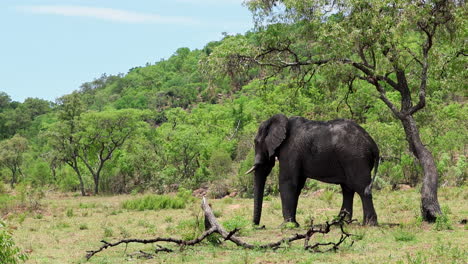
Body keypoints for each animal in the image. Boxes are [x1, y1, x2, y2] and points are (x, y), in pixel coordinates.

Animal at [247, 113, 378, 227]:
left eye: (256, 142)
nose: (258, 226)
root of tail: (373, 144)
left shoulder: (290, 151)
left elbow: (287, 182)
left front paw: (286, 226)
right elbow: (297, 186)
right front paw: (294, 224)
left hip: (356, 158)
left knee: (362, 188)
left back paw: (369, 224)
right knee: (348, 189)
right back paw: (340, 223)